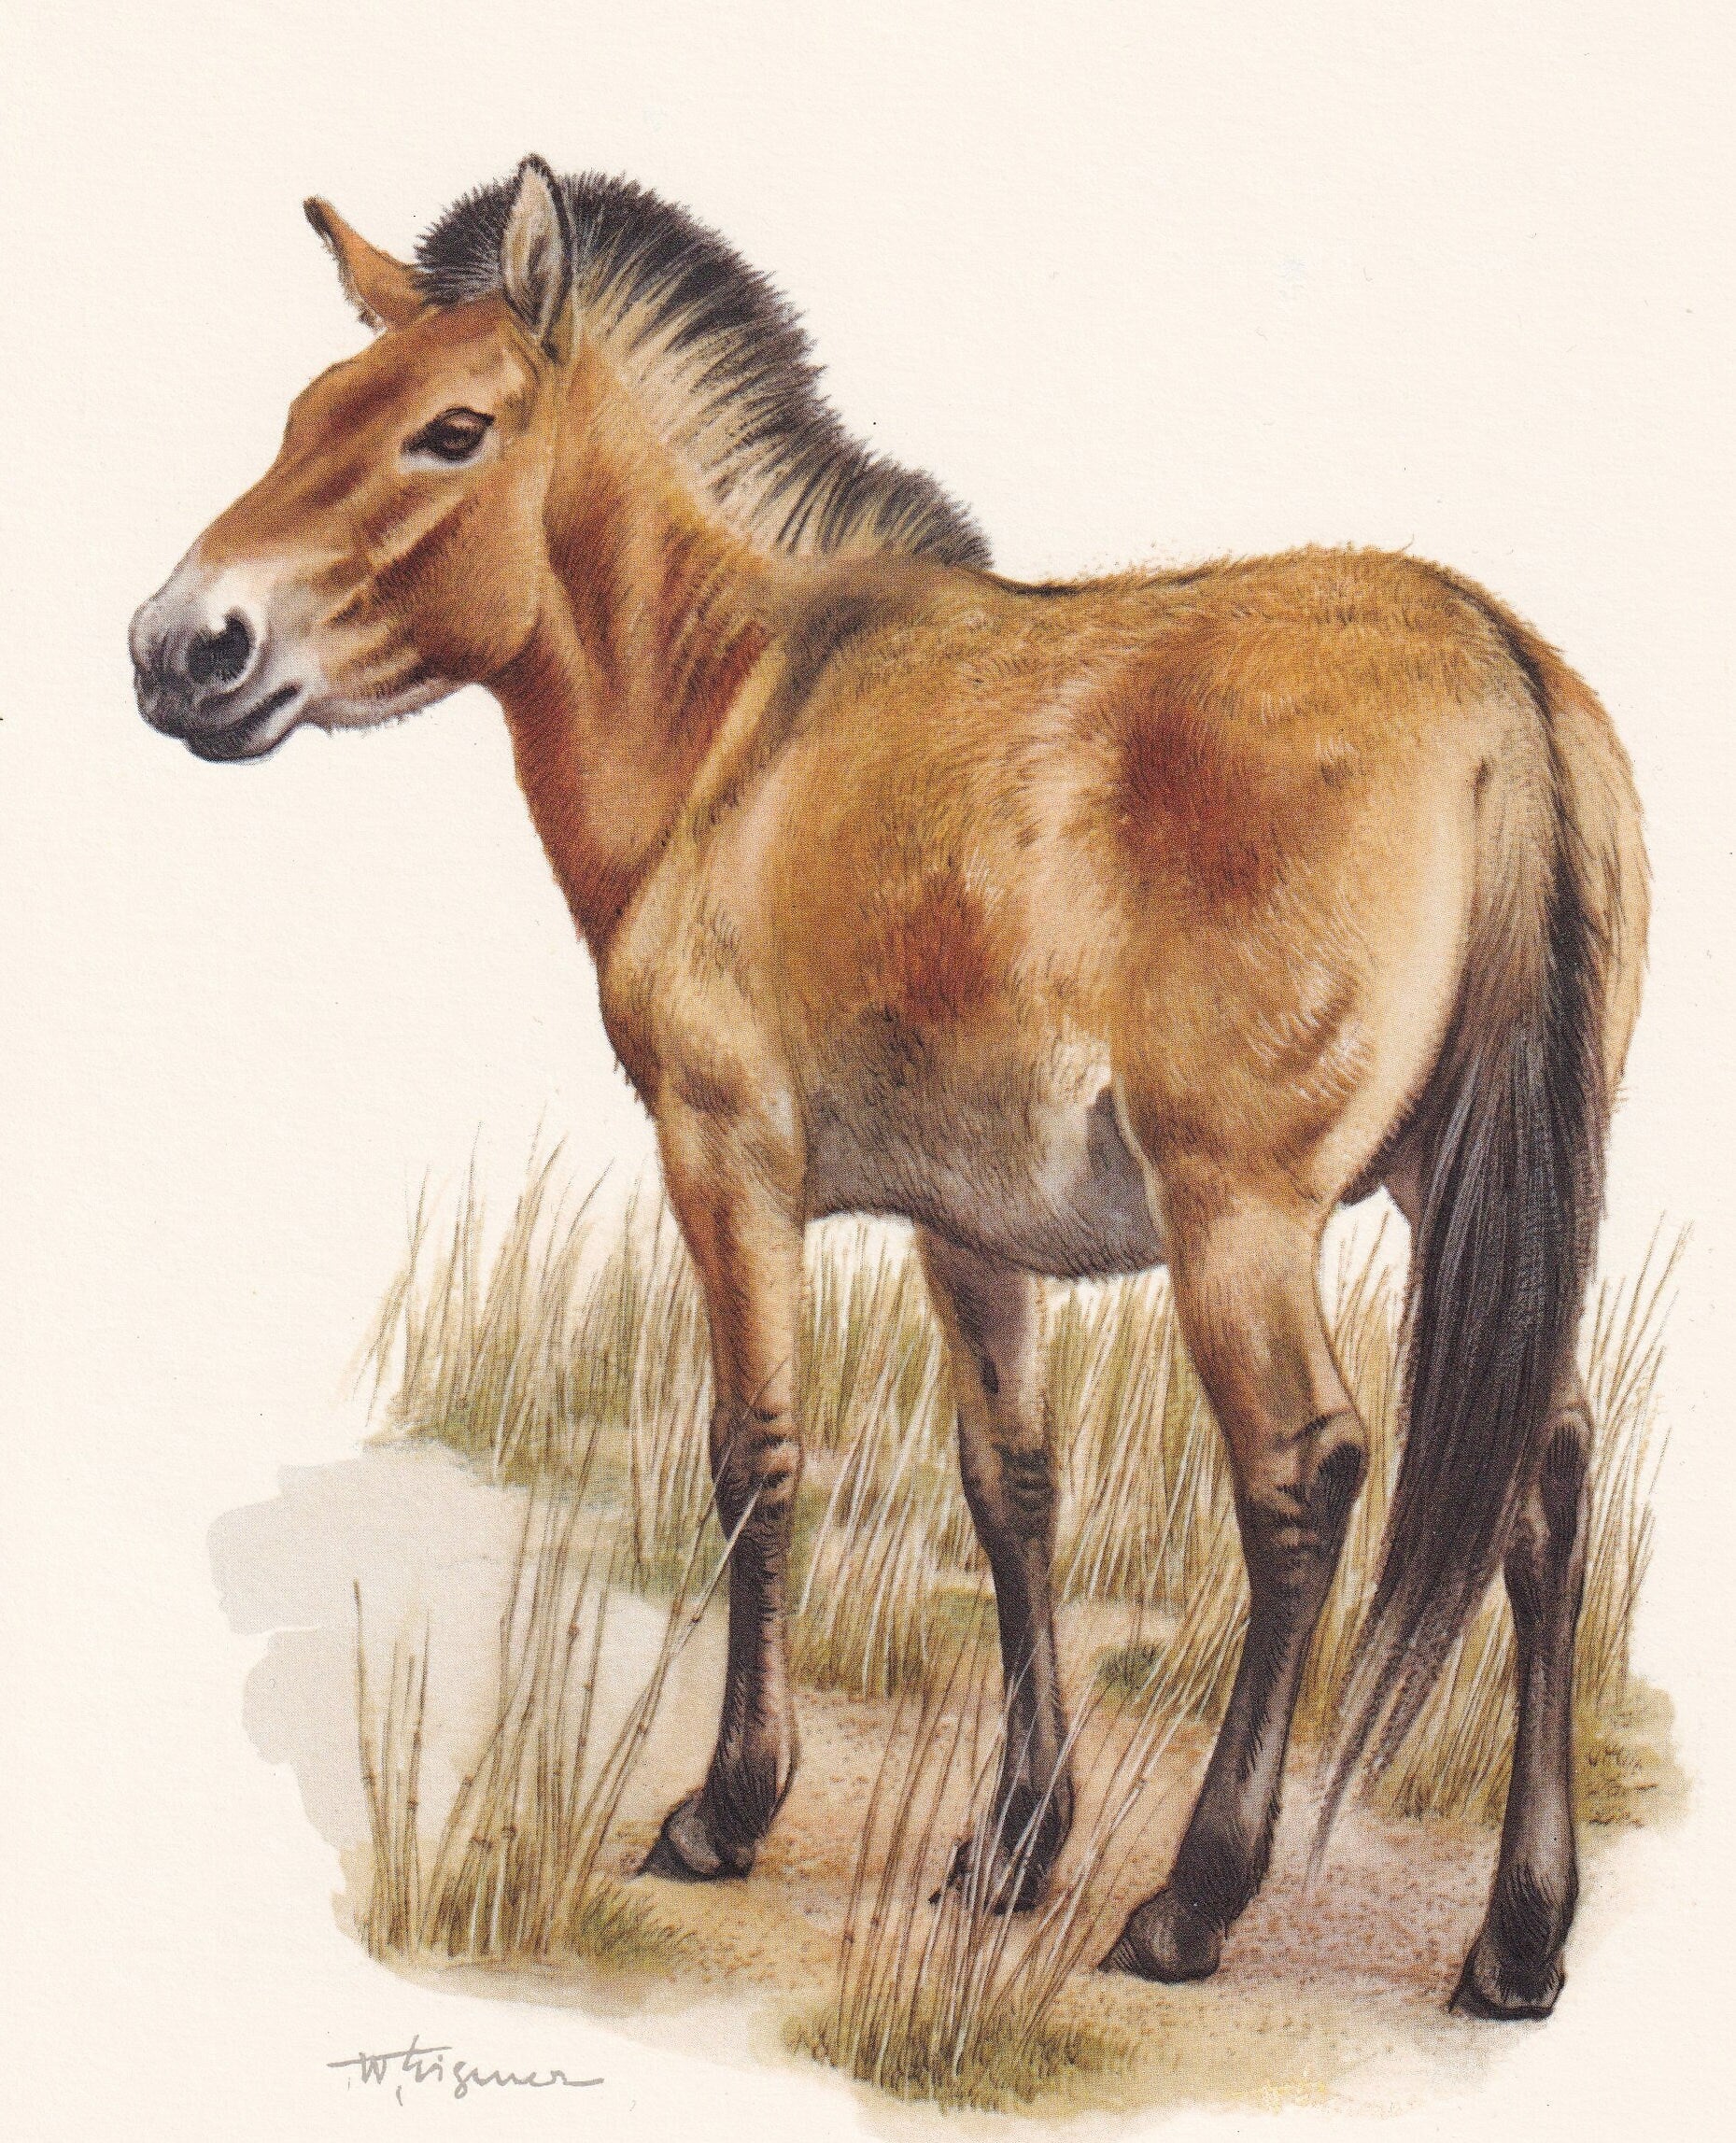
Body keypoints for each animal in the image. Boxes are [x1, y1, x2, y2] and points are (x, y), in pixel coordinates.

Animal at [130, 156, 1647, 2020]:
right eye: (304, 415)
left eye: (451, 432)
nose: (180, 650)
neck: (729, 716)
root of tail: (1500, 671)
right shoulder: (969, 1230)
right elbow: (1012, 1495)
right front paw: (1011, 1842)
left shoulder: (723, 1162)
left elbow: (753, 1460)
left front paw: (728, 1808)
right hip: (1475, 1202)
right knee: (1543, 1479)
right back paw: (1515, 1939)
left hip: (1244, 1220)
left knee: (1304, 1481)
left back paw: (1193, 1902)